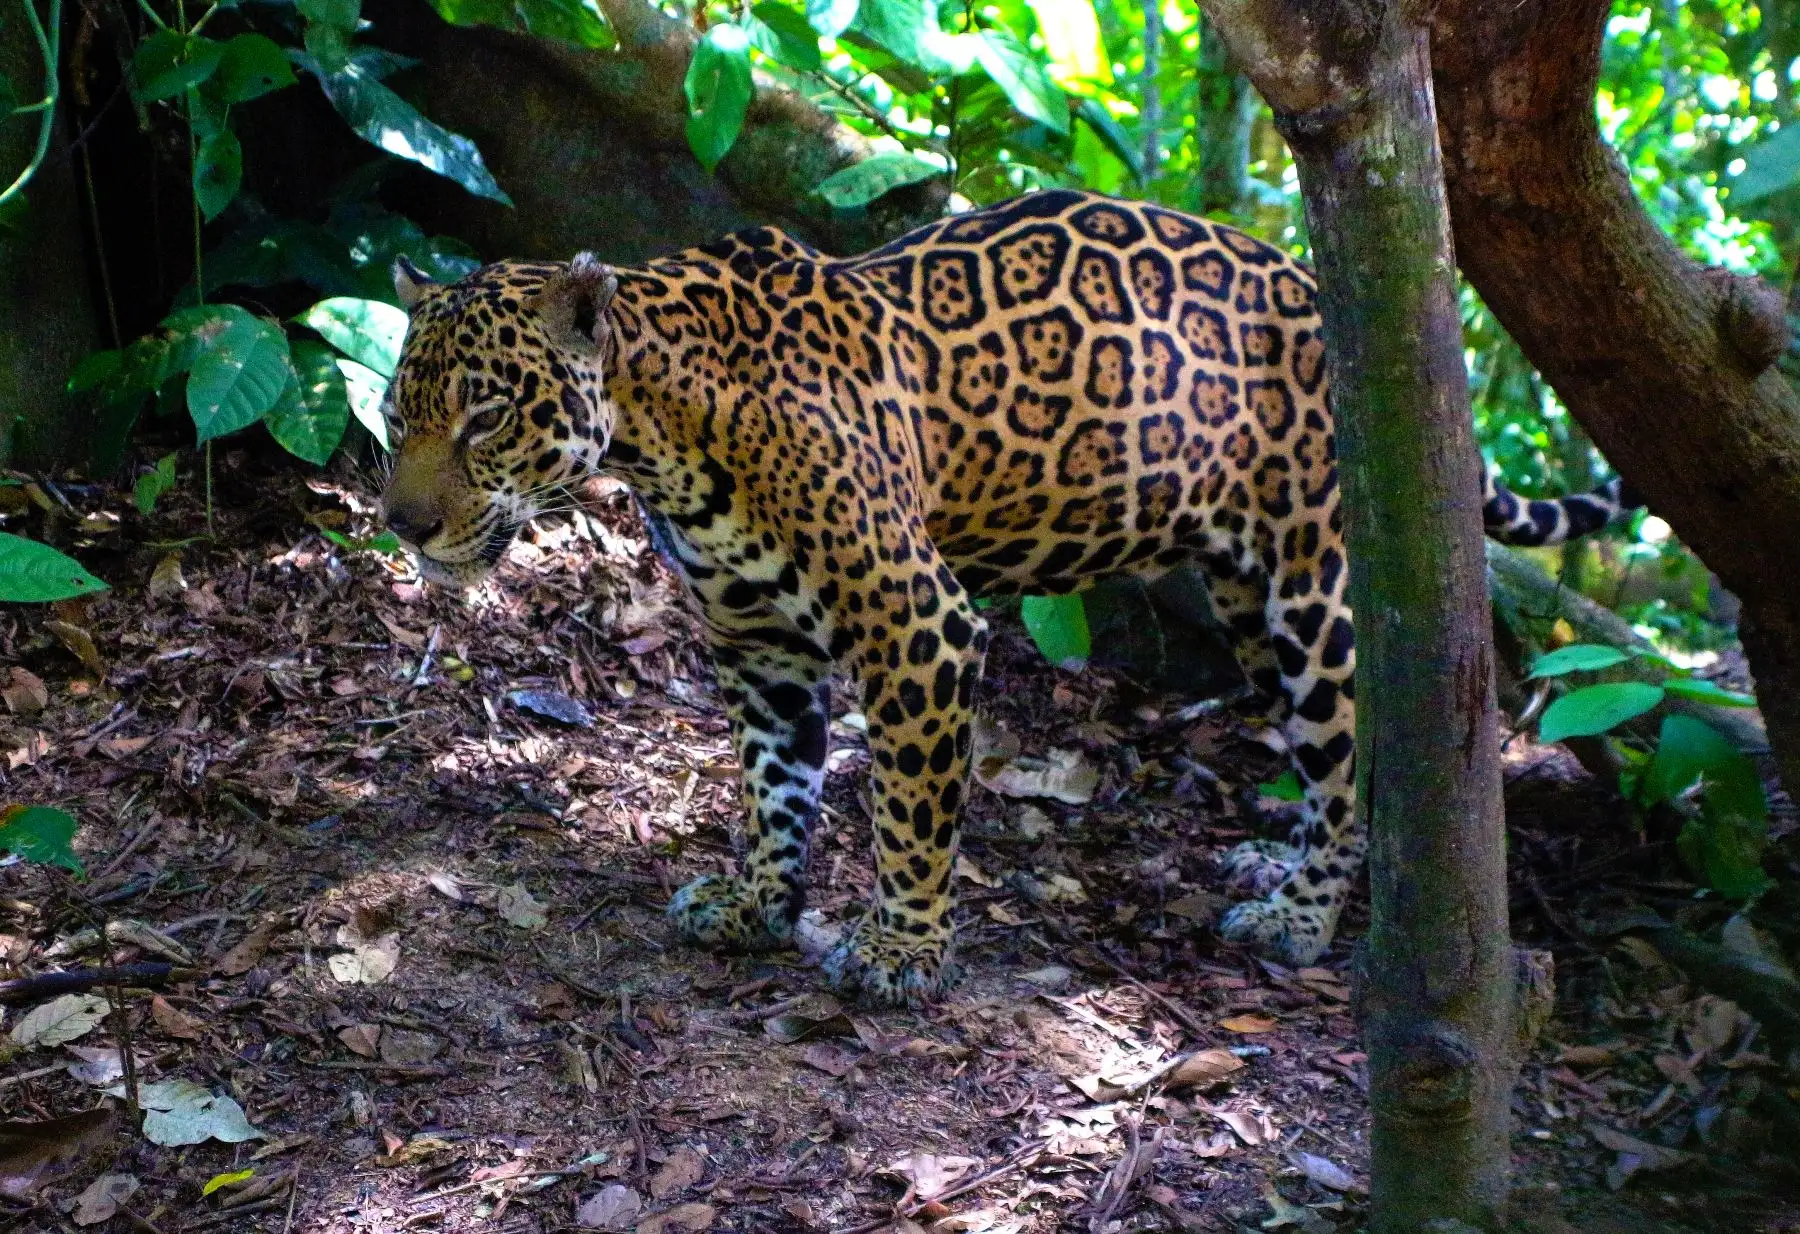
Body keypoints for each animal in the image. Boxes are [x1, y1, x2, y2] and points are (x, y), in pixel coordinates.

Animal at [378, 189, 1630, 1006]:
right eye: (398, 414)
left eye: (486, 414)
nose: (404, 523)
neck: (663, 427)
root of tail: (1313, 280)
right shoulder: (758, 642)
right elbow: (774, 785)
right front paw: (758, 904)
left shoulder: (917, 626)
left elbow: (910, 808)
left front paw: (901, 951)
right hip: (1241, 601)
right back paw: (1269, 865)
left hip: (1310, 585)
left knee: (1345, 744)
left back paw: (1300, 915)